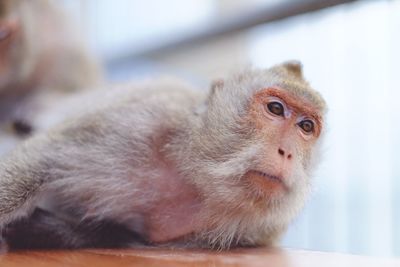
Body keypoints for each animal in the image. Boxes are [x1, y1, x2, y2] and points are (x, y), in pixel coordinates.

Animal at [0, 60, 326, 251]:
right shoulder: (141, 119)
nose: (286, 152)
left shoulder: (259, 230)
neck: (192, 174)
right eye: (275, 108)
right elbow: (41, 157)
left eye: (306, 126)